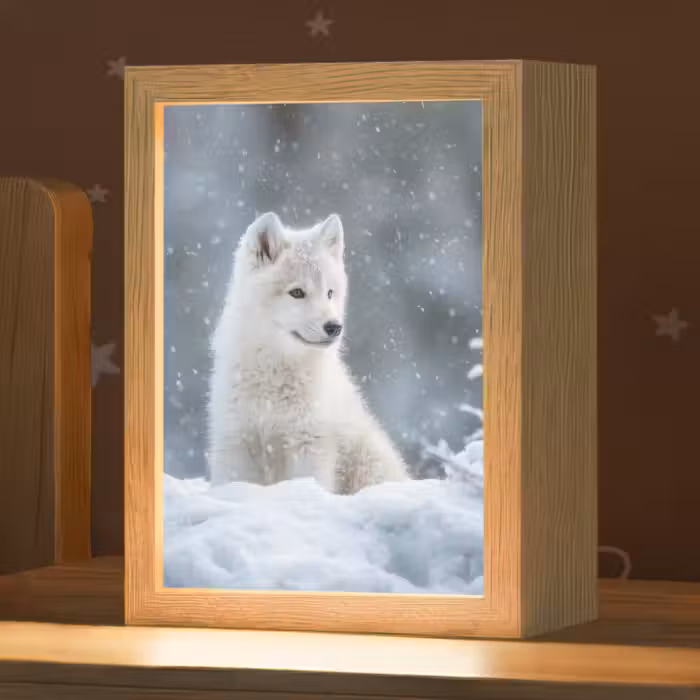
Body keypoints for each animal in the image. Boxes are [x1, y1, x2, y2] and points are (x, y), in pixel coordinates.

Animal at [206, 211, 409, 493]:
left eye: (330, 293)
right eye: (297, 292)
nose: (334, 327)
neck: (275, 377)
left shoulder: (309, 444)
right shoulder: (238, 441)